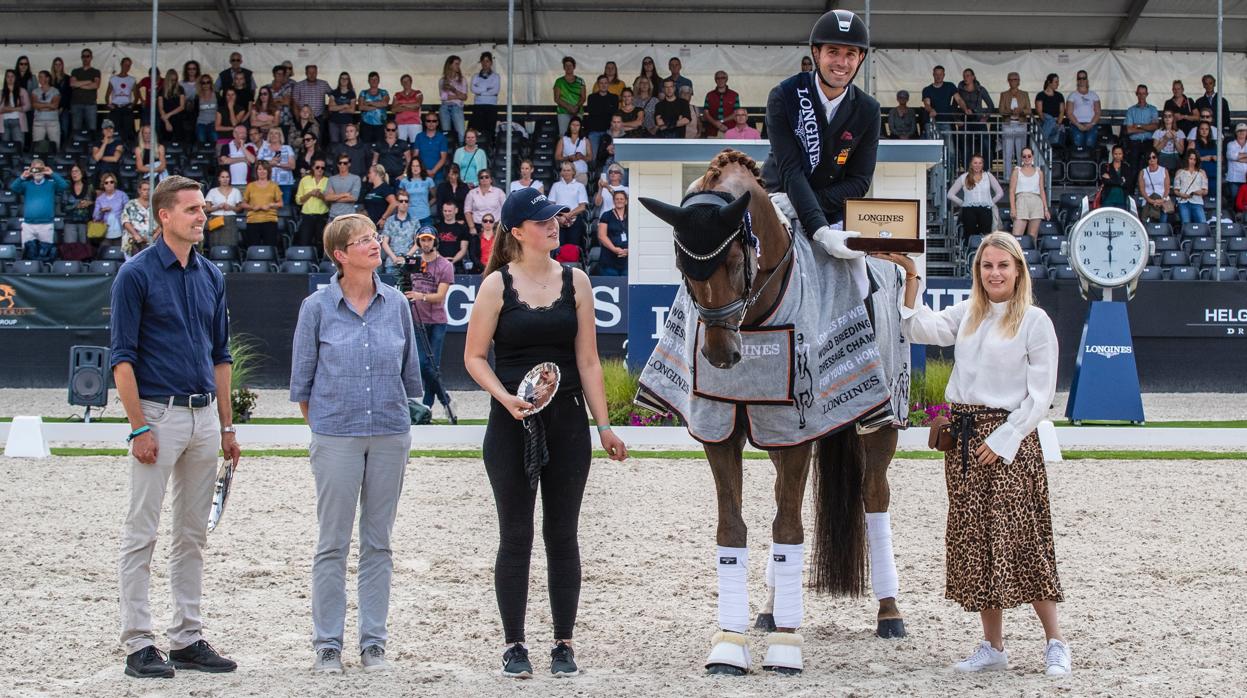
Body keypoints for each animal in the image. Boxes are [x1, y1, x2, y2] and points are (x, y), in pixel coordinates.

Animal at [638, 151, 912, 678]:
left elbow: (788, 529)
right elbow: (734, 529)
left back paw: (889, 613)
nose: (720, 355)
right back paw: (769, 610)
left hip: (881, 420)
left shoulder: (794, 431)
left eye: (733, 260)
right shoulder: (721, 431)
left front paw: (787, 647)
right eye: (682, 265)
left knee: (875, 498)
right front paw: (729, 644)